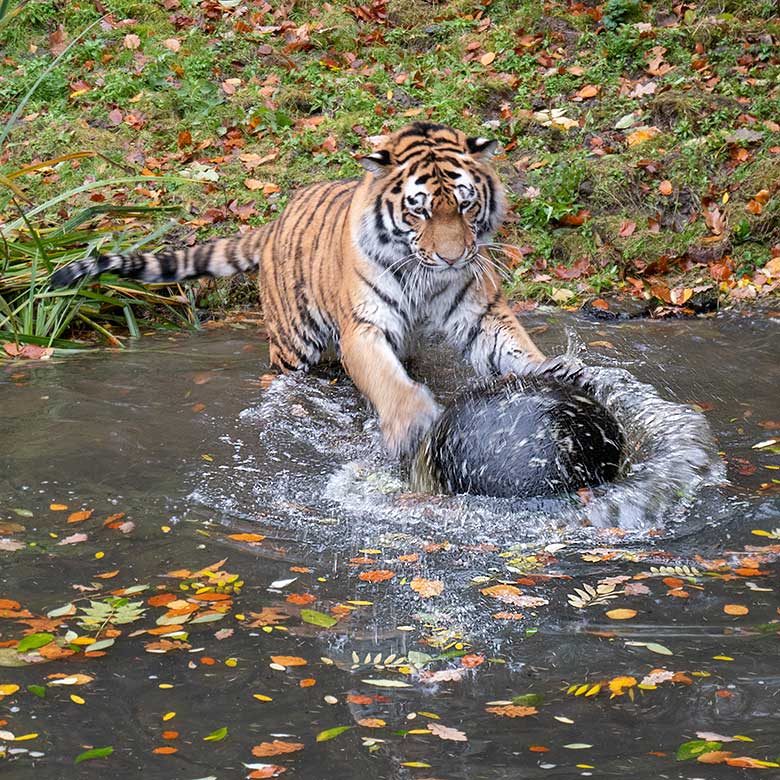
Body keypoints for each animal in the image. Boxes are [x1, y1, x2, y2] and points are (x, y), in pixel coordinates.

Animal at [51, 122, 544, 458]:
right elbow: (385, 379)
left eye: (466, 204)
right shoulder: (364, 327)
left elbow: (514, 347)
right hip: (293, 343)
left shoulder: (479, 310)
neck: (427, 275)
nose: (452, 257)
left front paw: (555, 370)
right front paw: (410, 420)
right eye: (419, 211)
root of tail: (273, 223)